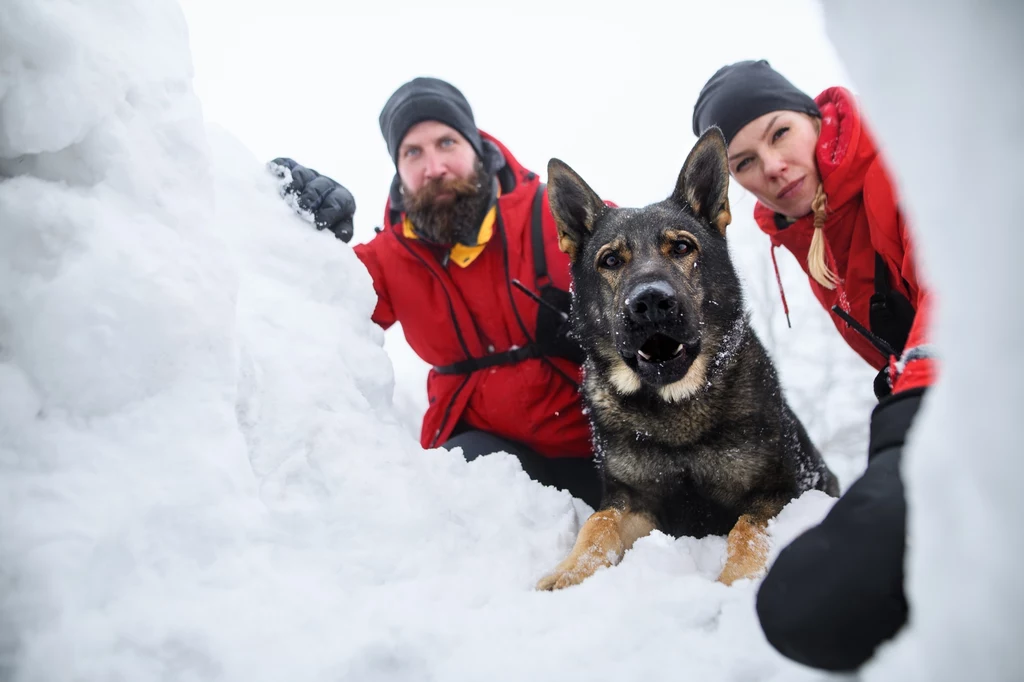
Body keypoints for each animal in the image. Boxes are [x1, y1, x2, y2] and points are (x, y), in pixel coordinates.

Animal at [536, 130, 839, 585]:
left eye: (681, 246)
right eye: (611, 260)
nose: (650, 303)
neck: (674, 407)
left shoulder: (779, 491)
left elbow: (746, 530)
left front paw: (735, 583)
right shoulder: (634, 499)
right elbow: (598, 523)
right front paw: (569, 572)